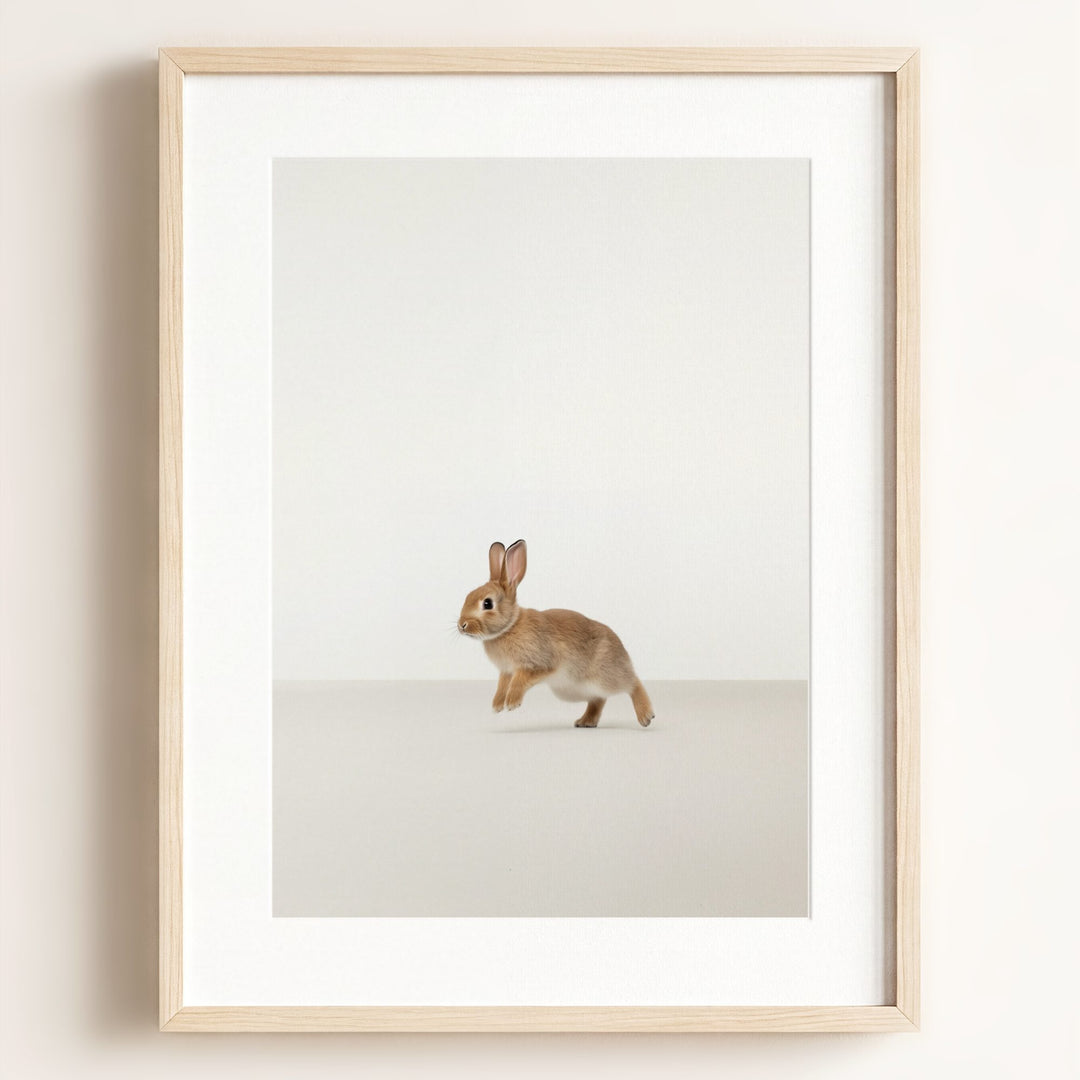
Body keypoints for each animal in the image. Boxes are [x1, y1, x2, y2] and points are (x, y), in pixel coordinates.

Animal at [458, 539, 654, 729]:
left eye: (487, 603)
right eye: (467, 596)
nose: (462, 625)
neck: (510, 626)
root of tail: (622, 650)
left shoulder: (538, 664)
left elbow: (519, 681)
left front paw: (512, 703)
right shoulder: (506, 671)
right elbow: (501, 685)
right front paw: (497, 705)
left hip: (606, 676)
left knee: (632, 684)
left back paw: (646, 716)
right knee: (598, 698)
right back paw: (586, 721)